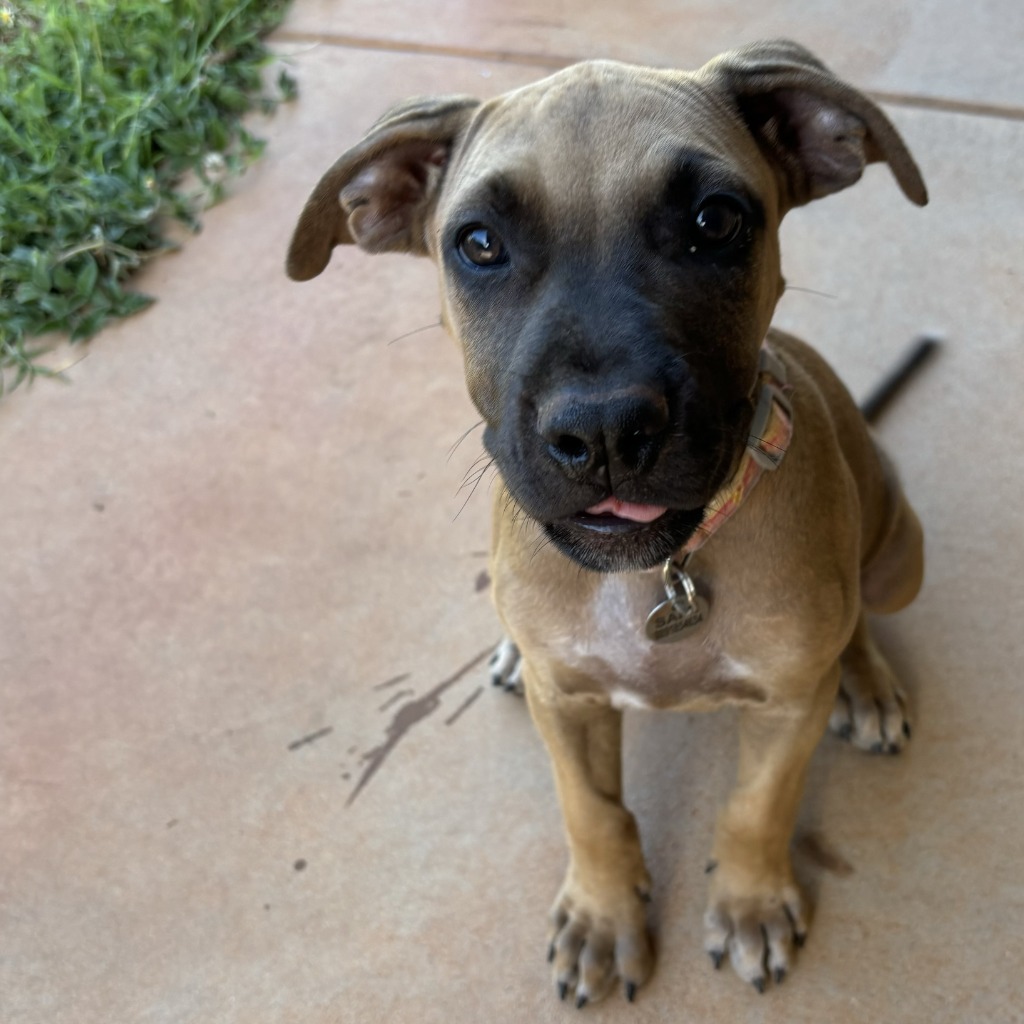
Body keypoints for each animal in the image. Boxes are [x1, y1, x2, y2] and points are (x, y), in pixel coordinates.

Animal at [286, 40, 926, 1006]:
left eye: (715, 221)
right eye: (479, 244)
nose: (604, 432)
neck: (655, 571)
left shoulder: (785, 709)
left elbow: (757, 804)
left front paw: (749, 901)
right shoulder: (569, 706)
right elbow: (591, 809)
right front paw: (602, 913)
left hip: (898, 555)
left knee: (859, 613)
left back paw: (866, 679)